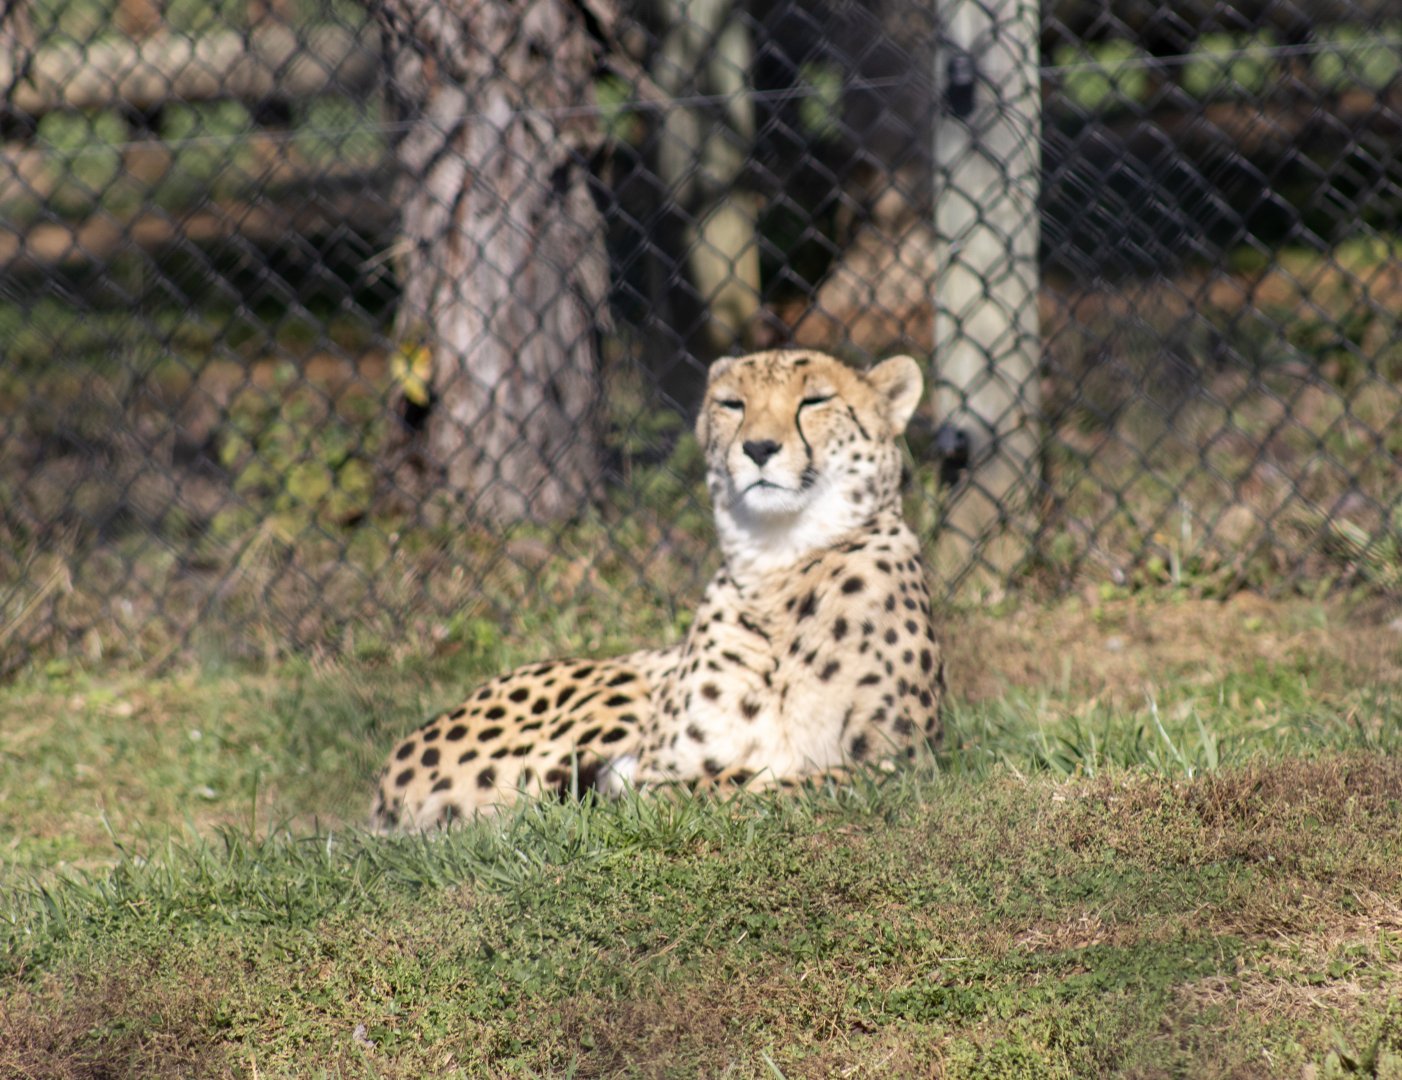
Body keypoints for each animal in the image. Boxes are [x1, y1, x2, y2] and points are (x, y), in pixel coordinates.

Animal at [371, 349, 946, 831]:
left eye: (816, 400)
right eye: (732, 404)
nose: (758, 448)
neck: (778, 565)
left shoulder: (907, 764)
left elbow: (800, 777)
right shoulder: (662, 761)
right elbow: (716, 780)